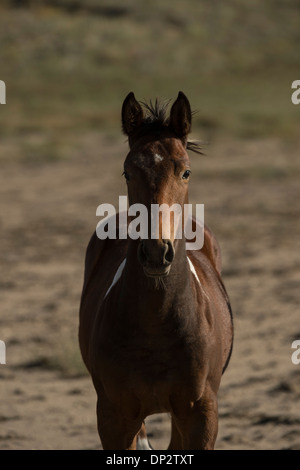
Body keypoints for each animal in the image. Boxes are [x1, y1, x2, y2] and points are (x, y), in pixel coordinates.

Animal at [78, 92, 233, 452]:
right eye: (127, 172)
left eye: (185, 171)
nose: (156, 253)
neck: (156, 321)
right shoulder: (114, 416)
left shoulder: (202, 414)